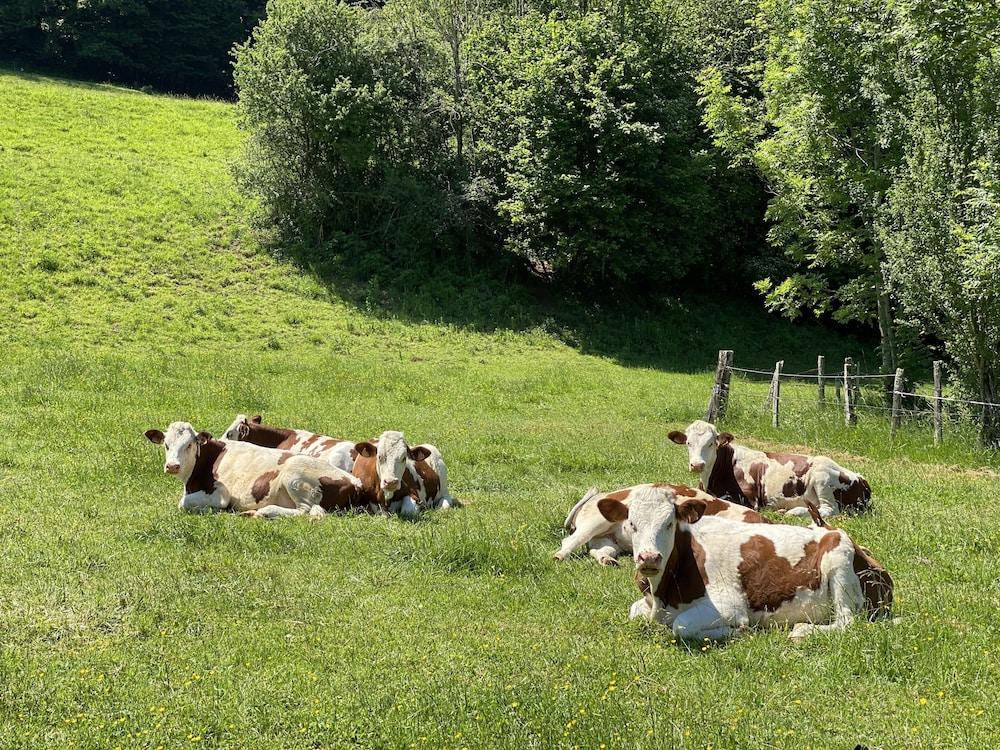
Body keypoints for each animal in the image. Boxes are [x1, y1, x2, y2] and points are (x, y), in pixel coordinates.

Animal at [146, 424, 366, 524]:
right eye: (166, 445)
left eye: (189, 445)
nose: (172, 466)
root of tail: (355, 482)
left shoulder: (221, 494)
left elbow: (183, 503)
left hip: (295, 476)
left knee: (308, 512)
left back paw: (264, 511)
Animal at [552, 484, 768, 568]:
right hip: (595, 522)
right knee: (570, 540)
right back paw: (559, 556)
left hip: (608, 539)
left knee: (599, 550)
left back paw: (608, 560)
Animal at [596, 488, 896, 640]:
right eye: (631, 524)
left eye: (669, 523)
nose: (649, 558)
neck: (664, 594)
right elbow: (634, 611)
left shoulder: (730, 606)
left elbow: (681, 626)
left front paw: (735, 631)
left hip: (839, 559)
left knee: (847, 622)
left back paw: (802, 630)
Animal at [668, 420, 872, 520]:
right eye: (688, 443)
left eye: (711, 443)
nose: (697, 465)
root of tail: (861, 478)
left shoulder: (748, 498)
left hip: (822, 477)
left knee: (829, 510)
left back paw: (794, 512)